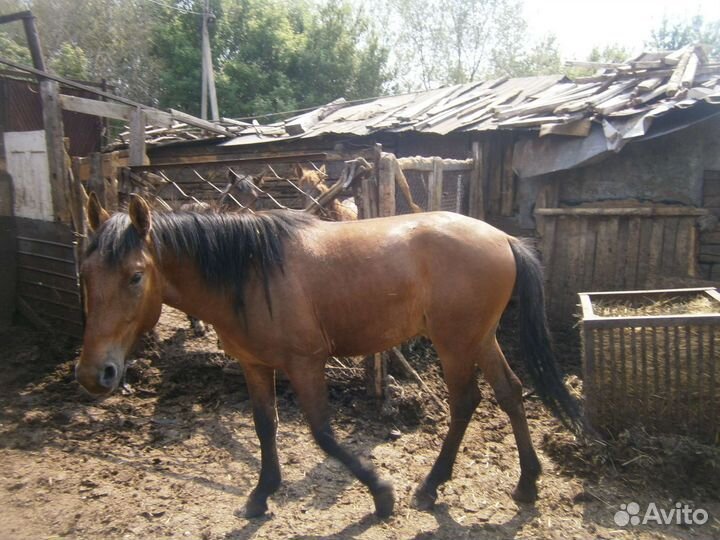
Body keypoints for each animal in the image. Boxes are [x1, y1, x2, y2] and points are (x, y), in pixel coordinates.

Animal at [76, 193, 581, 519]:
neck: (249, 272)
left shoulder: (306, 364)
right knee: (511, 393)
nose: (94, 374)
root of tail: (501, 238)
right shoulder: (254, 365)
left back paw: (430, 486)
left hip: (455, 344)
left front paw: (381, 494)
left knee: (465, 403)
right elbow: (265, 426)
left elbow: (322, 434)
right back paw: (527, 483)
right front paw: (262, 494)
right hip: (480, 338)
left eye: (135, 276)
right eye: (85, 274)